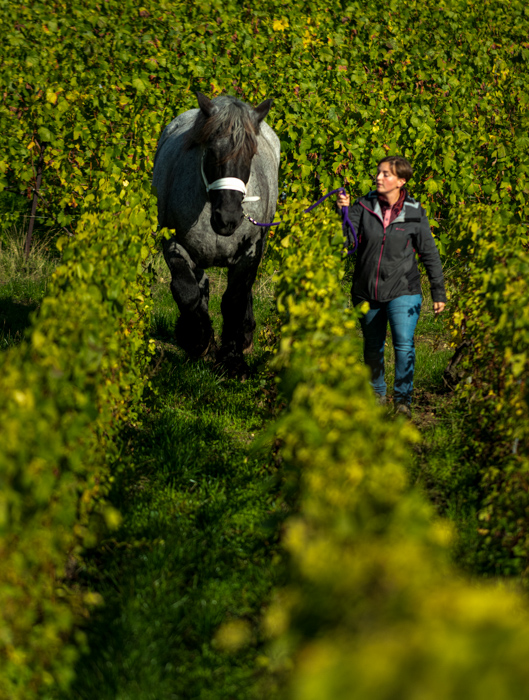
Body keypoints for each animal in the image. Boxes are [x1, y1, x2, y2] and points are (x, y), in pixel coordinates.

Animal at [152, 94, 280, 378]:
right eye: (211, 151)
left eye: (251, 153)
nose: (228, 218)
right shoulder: (175, 246)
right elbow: (186, 292)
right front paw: (198, 340)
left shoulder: (250, 252)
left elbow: (235, 299)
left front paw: (232, 358)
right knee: (200, 284)